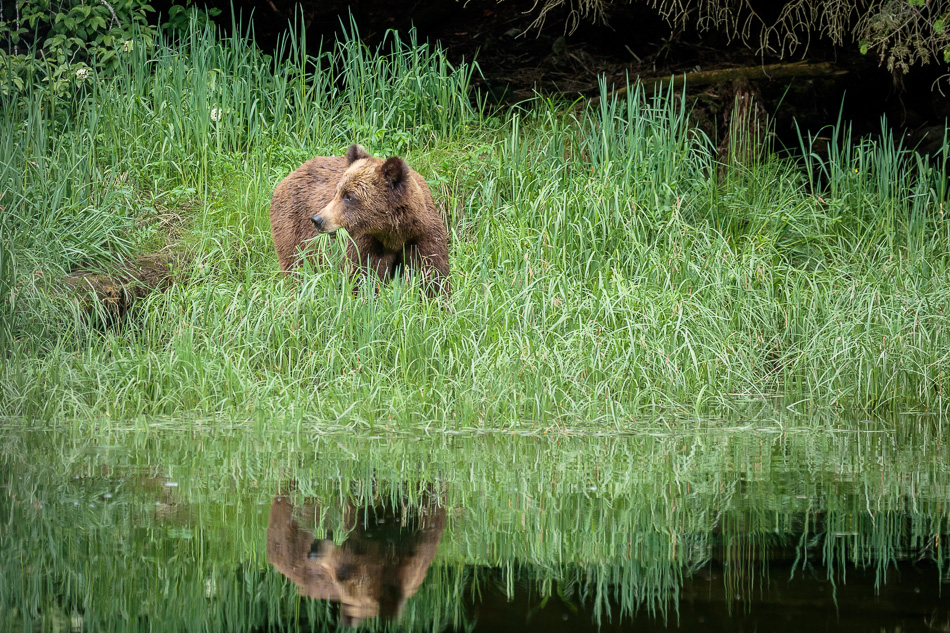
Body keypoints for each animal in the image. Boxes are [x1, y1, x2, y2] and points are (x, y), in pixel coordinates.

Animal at [269, 145, 450, 297]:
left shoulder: (422, 238)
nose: (317, 219)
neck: (394, 234)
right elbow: (363, 280)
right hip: (292, 230)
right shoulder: (367, 245)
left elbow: (434, 278)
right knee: (295, 268)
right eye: (336, 193)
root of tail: (289, 175)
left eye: (349, 196)